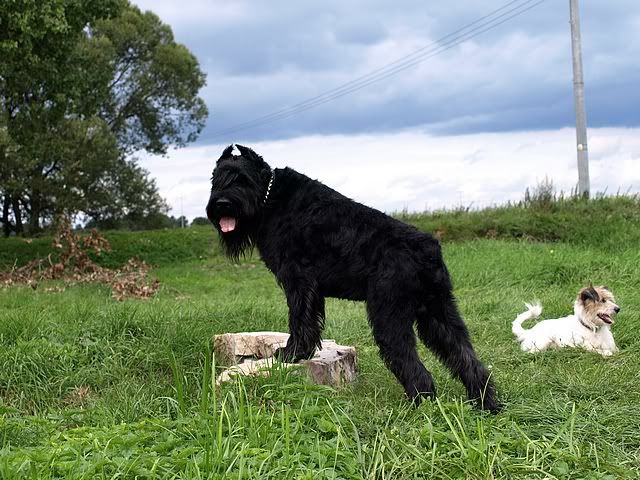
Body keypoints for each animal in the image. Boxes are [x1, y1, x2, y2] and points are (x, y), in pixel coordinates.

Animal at [205, 144, 499, 412]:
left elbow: (300, 320)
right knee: (465, 357)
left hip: (390, 316)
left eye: (242, 179)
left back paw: (419, 404)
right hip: (438, 313)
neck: (269, 199)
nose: (222, 203)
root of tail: (429, 250)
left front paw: (292, 353)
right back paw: (486, 403)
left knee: (413, 366)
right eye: (215, 179)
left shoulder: (299, 281)